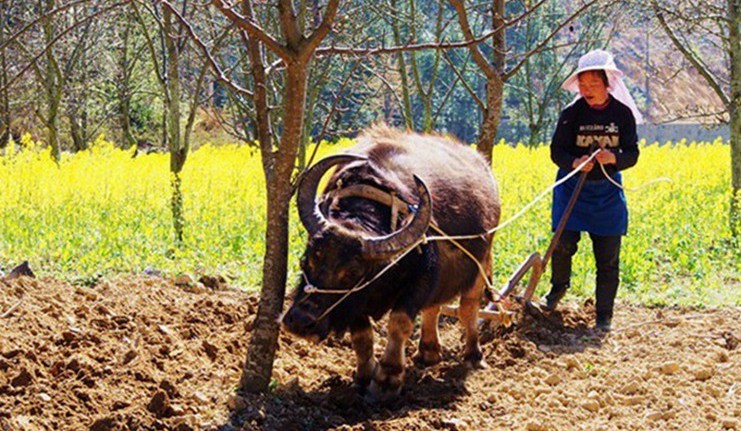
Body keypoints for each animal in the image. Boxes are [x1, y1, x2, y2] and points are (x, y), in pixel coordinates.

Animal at [280, 125, 500, 402]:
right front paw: (364, 376)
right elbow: (362, 335)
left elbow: (399, 323)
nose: (300, 321)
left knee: (468, 308)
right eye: (306, 259)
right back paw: (428, 352)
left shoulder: (419, 281)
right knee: (434, 308)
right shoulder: (357, 300)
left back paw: (473, 355)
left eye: (353, 273)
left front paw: (387, 380)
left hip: (480, 263)